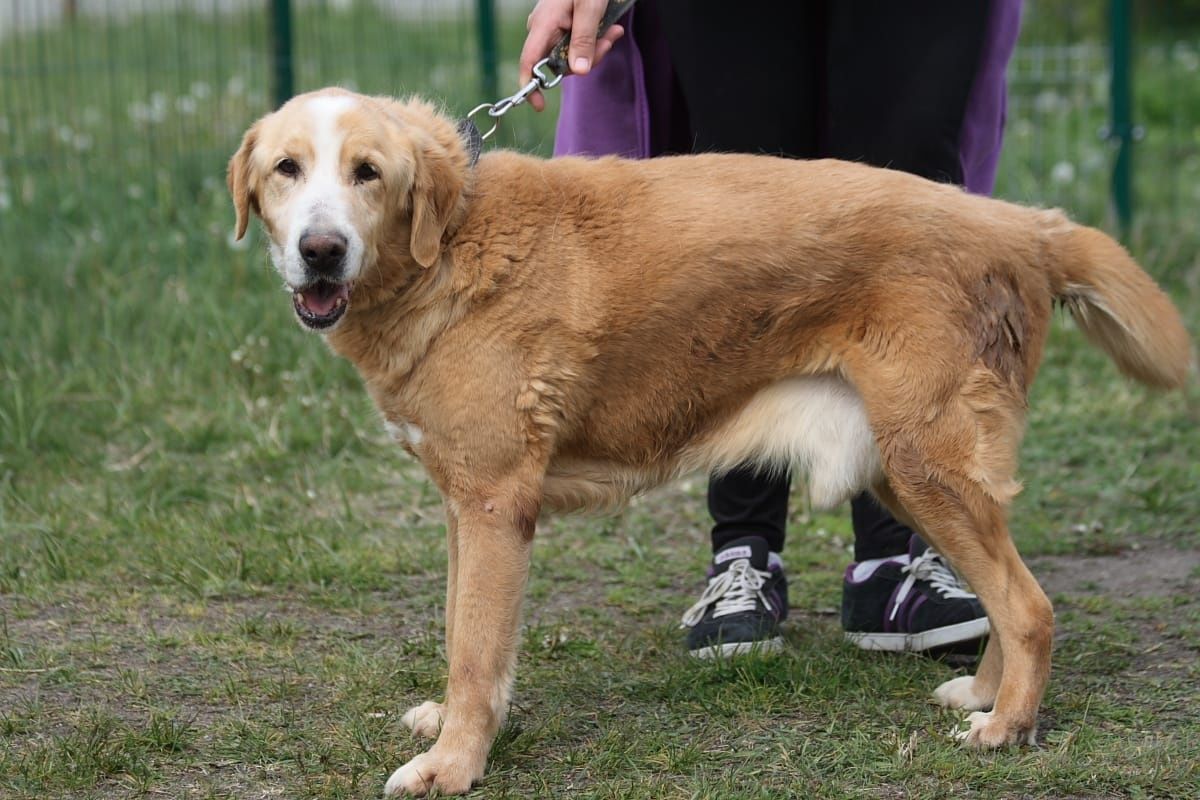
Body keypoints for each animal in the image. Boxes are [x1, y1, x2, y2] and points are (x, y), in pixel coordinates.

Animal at [225, 86, 1190, 796]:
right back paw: (985, 694)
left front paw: (455, 767)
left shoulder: (498, 503)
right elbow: (467, 639)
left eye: (367, 173)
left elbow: (473, 650)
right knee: (1009, 599)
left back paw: (1007, 727)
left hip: (927, 468)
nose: (321, 250)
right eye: (287, 170)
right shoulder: (466, 505)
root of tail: (1024, 224)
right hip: (906, 471)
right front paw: (455, 730)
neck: (451, 239)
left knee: (1030, 607)